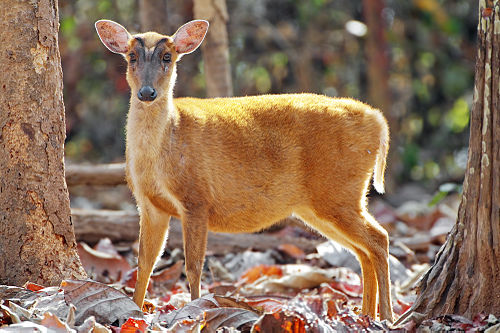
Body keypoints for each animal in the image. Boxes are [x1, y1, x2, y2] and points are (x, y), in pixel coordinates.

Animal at [94, 19, 394, 320]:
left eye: (168, 56)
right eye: (132, 56)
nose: (147, 93)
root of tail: (379, 121)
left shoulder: (196, 198)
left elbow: (193, 265)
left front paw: (195, 309)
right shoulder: (150, 204)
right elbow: (145, 262)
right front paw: (134, 309)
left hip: (337, 191)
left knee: (379, 239)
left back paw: (388, 317)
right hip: (319, 204)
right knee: (363, 250)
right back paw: (367, 315)